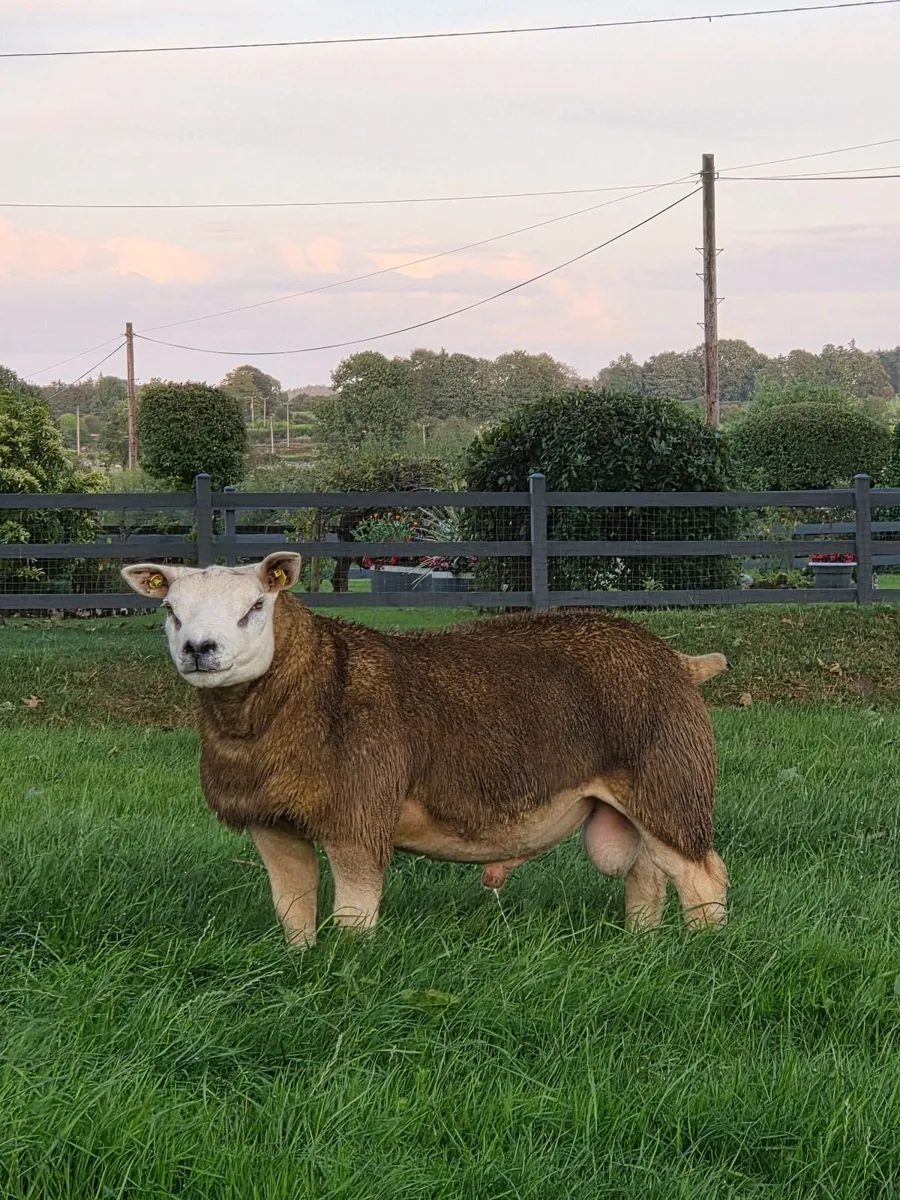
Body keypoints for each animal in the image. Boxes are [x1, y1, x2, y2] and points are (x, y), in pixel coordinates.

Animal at [122, 553, 728, 946]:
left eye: (254, 606)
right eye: (170, 609)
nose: (199, 648)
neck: (313, 682)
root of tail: (679, 661)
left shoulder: (357, 818)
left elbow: (354, 918)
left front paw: (350, 972)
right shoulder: (271, 824)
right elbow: (293, 910)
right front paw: (302, 962)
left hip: (673, 782)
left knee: (704, 878)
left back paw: (703, 951)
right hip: (638, 796)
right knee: (647, 873)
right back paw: (640, 942)